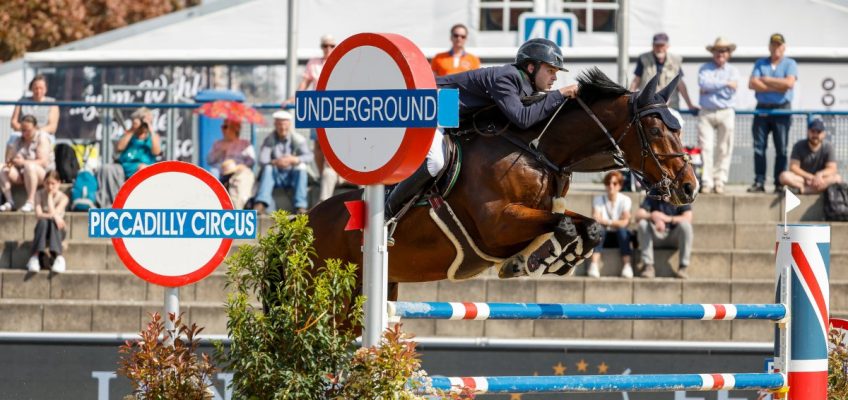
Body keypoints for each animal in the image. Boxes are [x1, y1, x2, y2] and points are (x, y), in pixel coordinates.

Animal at [304, 68, 696, 300]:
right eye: (656, 130)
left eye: (679, 128)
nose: (689, 188)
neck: (537, 149)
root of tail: (303, 221)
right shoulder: (498, 224)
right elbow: (567, 225)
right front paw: (539, 259)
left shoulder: (537, 212)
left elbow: (590, 227)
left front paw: (543, 260)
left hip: (383, 285)